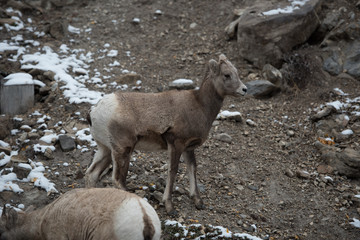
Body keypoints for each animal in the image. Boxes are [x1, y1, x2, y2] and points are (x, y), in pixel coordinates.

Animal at [84, 54, 248, 214]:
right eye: (226, 74)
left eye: (236, 73)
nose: (244, 89)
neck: (200, 106)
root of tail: (94, 110)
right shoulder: (176, 144)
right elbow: (173, 171)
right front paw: (169, 206)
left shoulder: (189, 148)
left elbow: (192, 168)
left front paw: (198, 202)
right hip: (123, 150)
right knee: (118, 180)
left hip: (106, 149)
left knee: (92, 174)